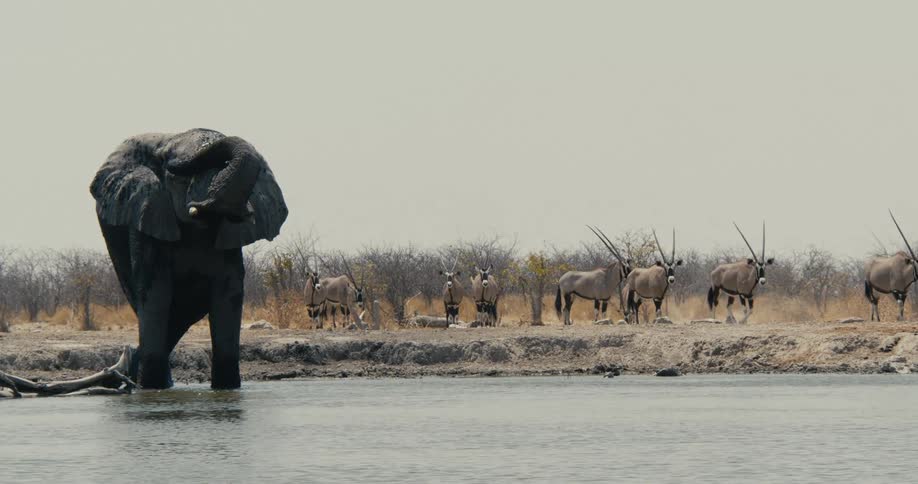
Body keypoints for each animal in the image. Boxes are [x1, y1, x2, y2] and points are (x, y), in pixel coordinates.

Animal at [90, 128, 288, 389]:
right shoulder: (148, 219)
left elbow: (228, 296)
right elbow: (156, 294)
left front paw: (226, 389)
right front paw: (151, 390)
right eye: (176, 177)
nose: (173, 164)